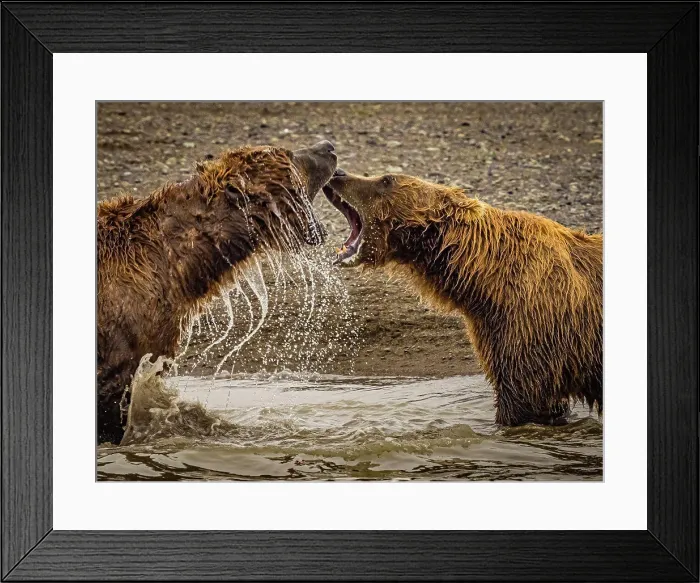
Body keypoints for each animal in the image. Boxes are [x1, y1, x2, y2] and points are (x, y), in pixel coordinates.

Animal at [323, 169, 602, 426]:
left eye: (386, 180)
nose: (338, 173)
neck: (485, 279)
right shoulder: (497, 329)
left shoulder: (533, 324)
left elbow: (524, 398)